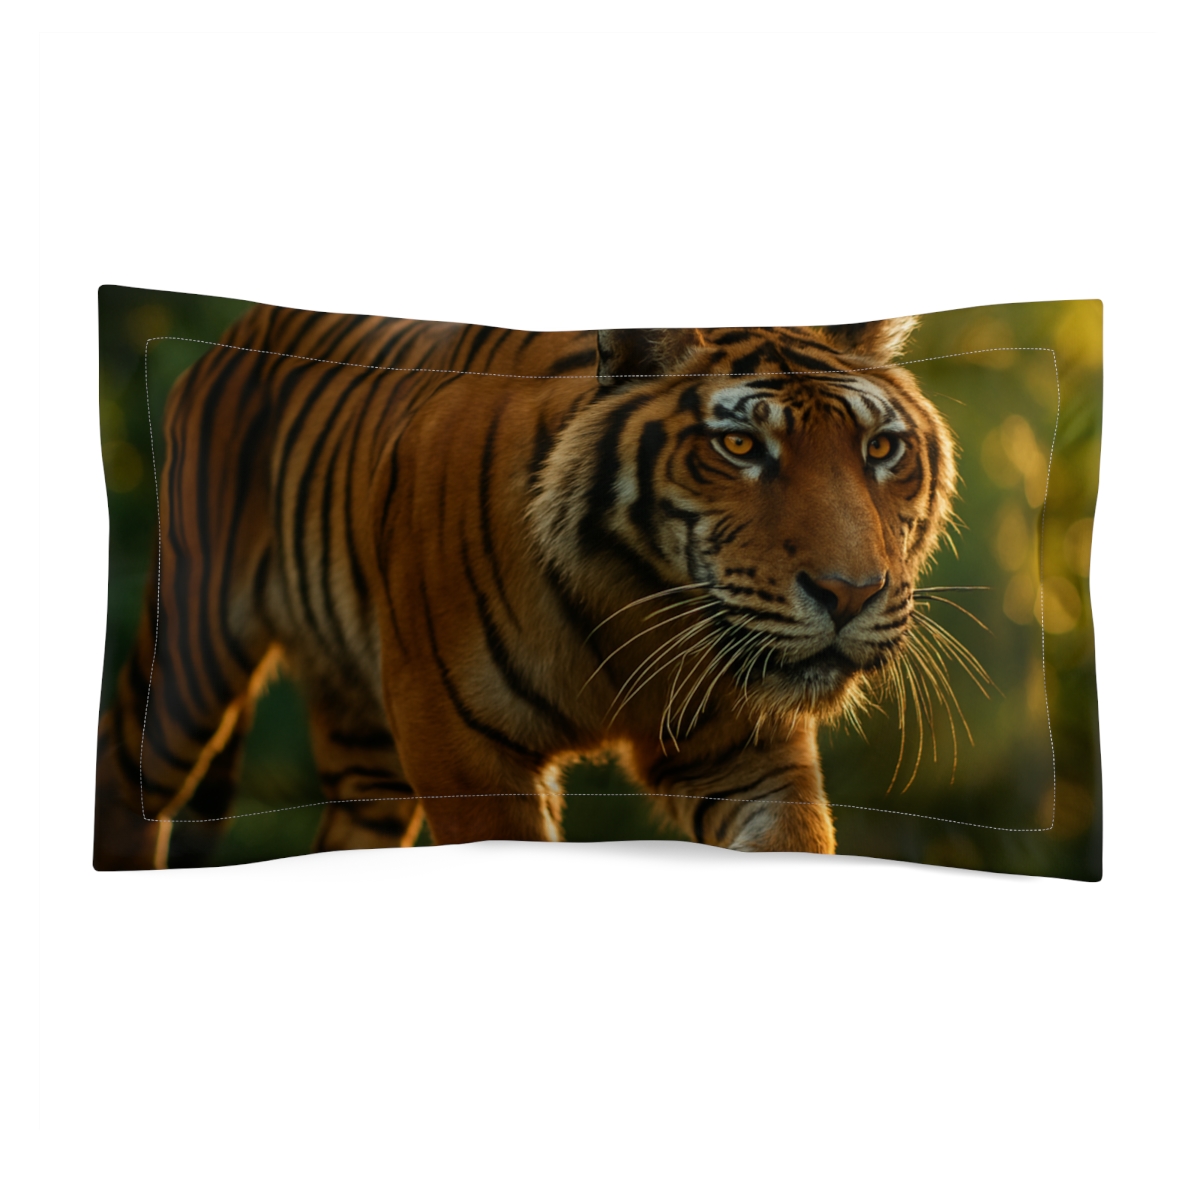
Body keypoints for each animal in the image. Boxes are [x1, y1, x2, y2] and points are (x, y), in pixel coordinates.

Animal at [93, 305, 957, 869]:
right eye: (740, 446)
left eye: (881, 449)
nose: (850, 593)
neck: (638, 609)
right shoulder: (465, 753)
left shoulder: (750, 753)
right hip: (190, 653)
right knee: (123, 774)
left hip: (365, 748)